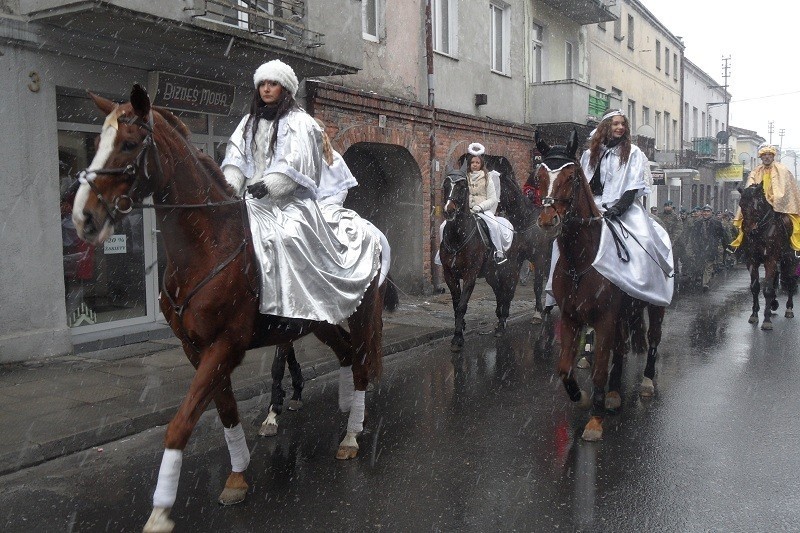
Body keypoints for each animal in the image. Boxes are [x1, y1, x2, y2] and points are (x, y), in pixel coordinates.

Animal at [70, 85, 396, 528]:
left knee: (361, 366)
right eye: (98, 142)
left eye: (130, 144)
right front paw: (238, 476)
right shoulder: (197, 348)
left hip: (360, 316)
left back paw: (350, 435)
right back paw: (346, 413)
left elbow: (180, 423)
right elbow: (224, 411)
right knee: (346, 356)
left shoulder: (226, 344)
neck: (210, 243)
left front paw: (161, 510)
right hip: (317, 319)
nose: (83, 217)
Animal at [440, 164, 520, 352]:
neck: (457, 236)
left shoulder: (470, 274)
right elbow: (456, 304)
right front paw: (460, 328)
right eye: (445, 185)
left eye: (462, 187)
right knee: (499, 292)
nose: (448, 210)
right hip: (491, 274)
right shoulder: (449, 274)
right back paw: (499, 319)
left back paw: (502, 323)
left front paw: (458, 338)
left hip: (509, 271)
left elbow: (462, 305)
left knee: (507, 293)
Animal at [536, 132, 664, 440]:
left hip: (655, 306)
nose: (548, 220)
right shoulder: (571, 317)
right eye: (539, 176)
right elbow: (564, 368)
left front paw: (595, 421)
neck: (581, 260)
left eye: (572, 177)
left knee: (653, 338)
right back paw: (615, 394)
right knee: (621, 348)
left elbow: (598, 370)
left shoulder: (605, 318)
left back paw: (646, 382)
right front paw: (581, 398)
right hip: (624, 313)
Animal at [736, 185, 796, 330]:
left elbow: (767, 289)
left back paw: (789, 309)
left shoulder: (770, 260)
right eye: (741, 204)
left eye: (757, 205)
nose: (749, 230)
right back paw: (774, 303)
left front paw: (767, 320)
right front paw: (754, 315)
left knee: (791, 281)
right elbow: (755, 287)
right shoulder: (752, 261)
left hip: (789, 259)